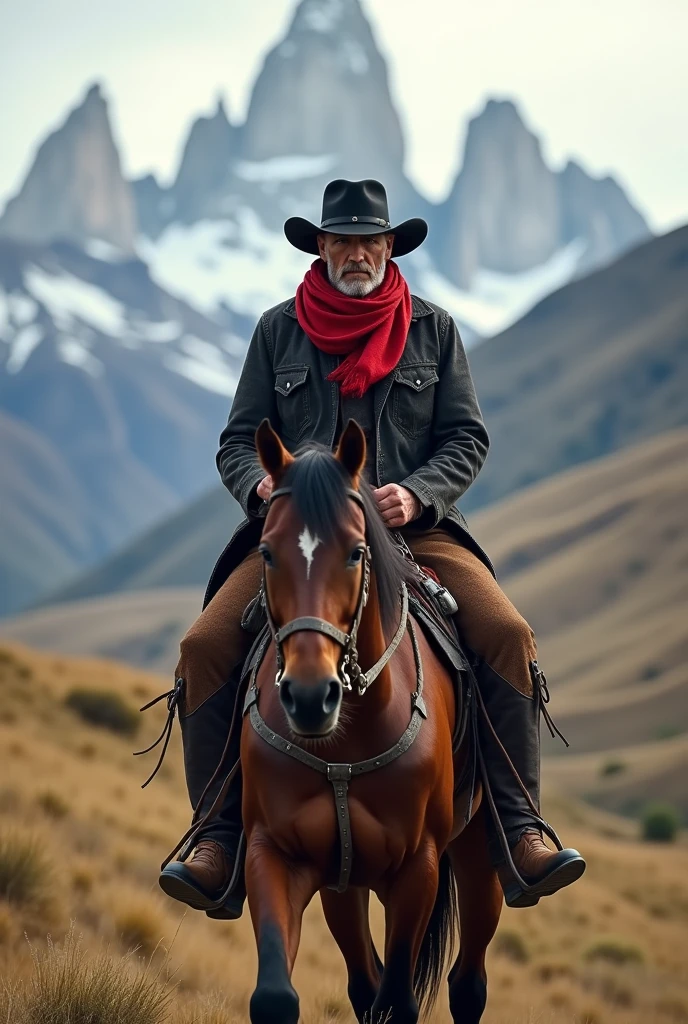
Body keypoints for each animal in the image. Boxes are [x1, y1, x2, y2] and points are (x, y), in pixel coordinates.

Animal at [244, 417, 501, 1024]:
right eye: (267, 552)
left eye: (356, 551)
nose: (310, 697)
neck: (346, 741)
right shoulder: (274, 852)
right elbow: (276, 996)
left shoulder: (417, 870)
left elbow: (398, 1003)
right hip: (344, 883)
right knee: (365, 982)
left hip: (481, 855)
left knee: (468, 985)